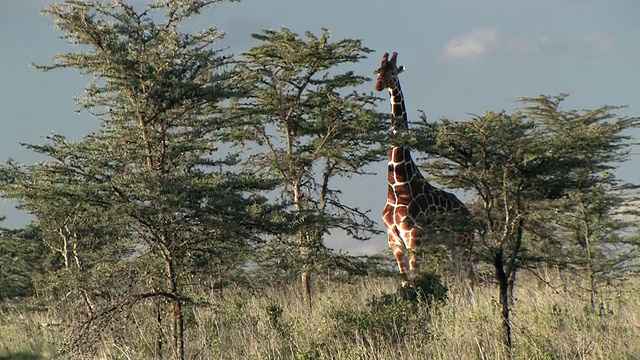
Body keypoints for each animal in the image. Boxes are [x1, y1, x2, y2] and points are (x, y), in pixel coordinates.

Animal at [376, 52, 476, 292]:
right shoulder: (394, 241)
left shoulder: (414, 237)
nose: (378, 85)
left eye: (392, 72)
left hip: (464, 241)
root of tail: (469, 214)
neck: (398, 184)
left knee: (471, 279)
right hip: (449, 245)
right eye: (377, 71)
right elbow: (406, 282)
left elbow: (416, 279)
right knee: (461, 277)